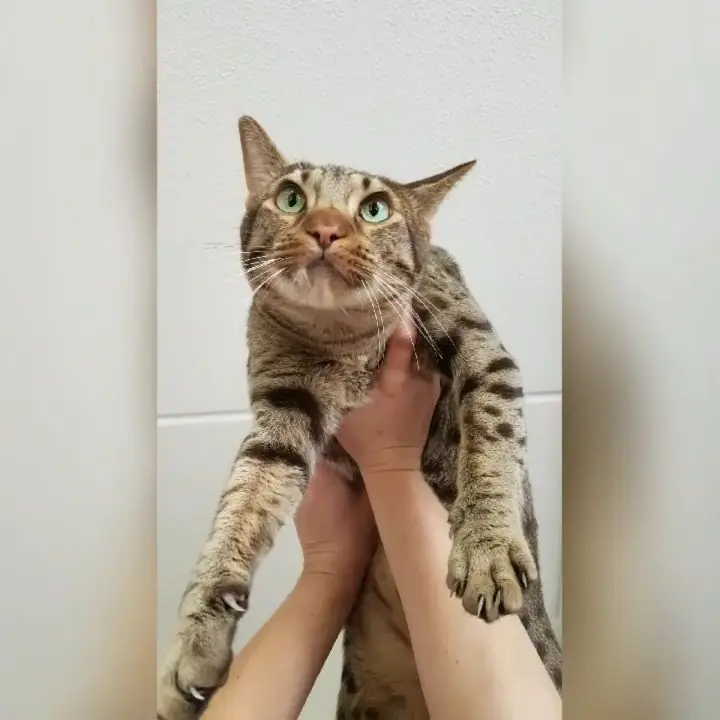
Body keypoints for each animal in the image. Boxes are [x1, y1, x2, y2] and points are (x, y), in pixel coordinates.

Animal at [157, 116, 562, 720]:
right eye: (291, 198)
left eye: (375, 209)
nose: (325, 228)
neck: (341, 342)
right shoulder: (284, 407)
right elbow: (239, 506)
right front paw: (193, 644)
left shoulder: (480, 343)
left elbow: (491, 431)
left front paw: (487, 547)